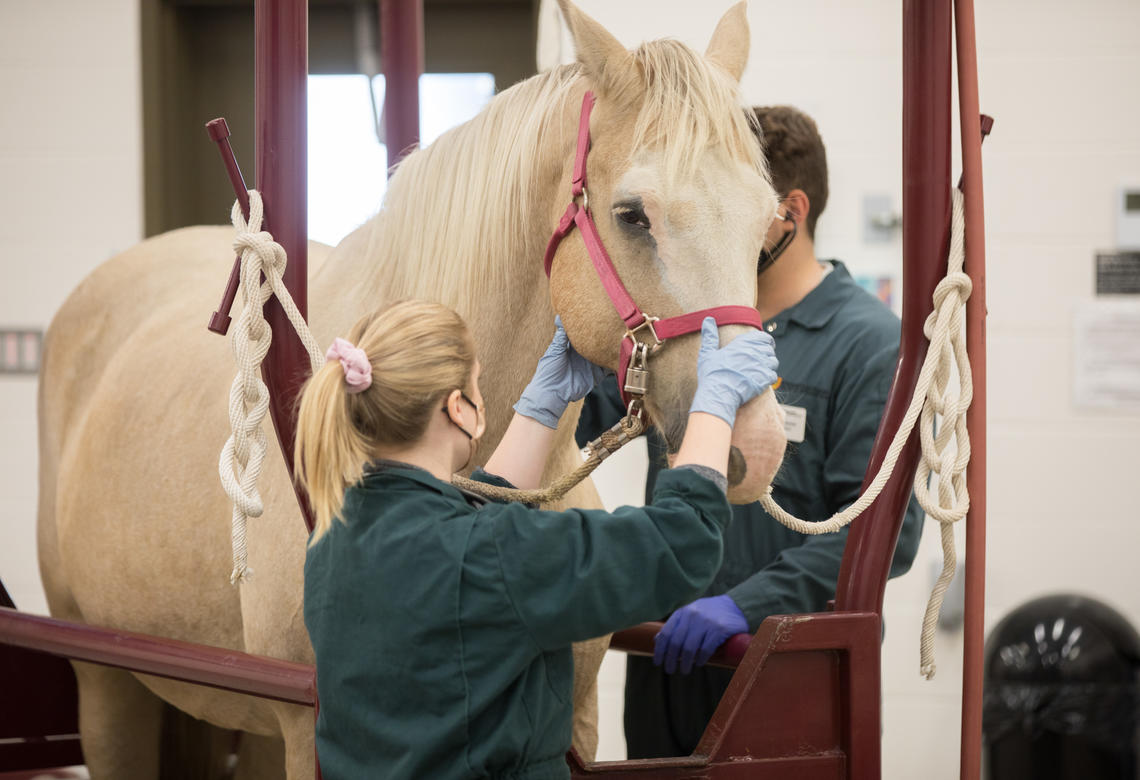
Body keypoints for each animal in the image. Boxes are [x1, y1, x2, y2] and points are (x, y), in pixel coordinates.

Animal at [35, 3, 784, 775]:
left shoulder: (577, 721)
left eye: (767, 221)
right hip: (108, 689)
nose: (757, 443)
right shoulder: (307, 733)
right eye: (633, 213)